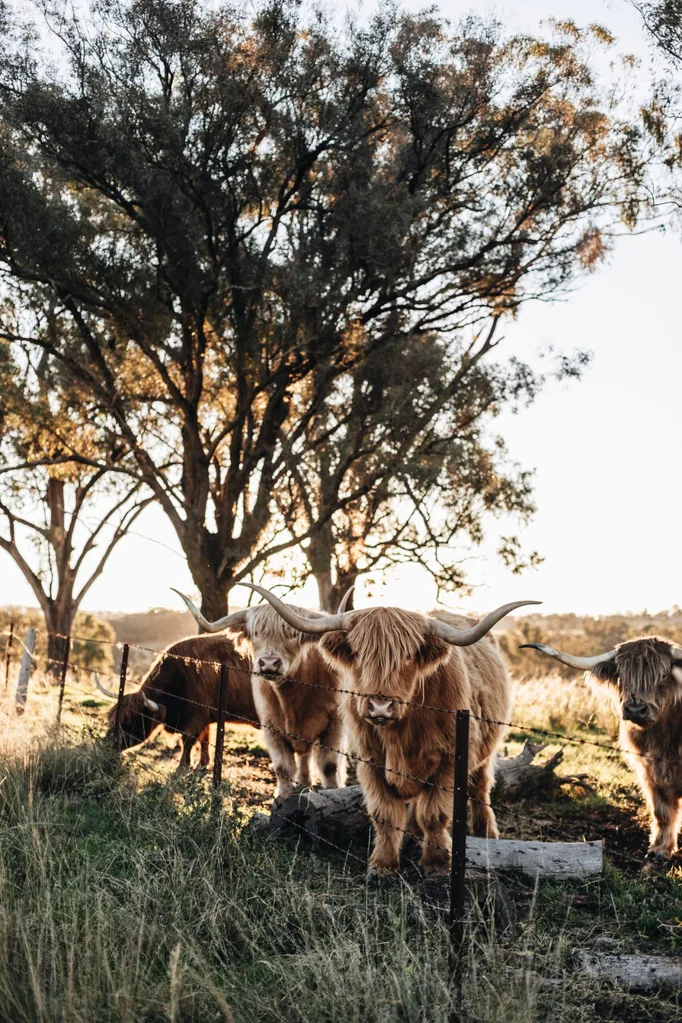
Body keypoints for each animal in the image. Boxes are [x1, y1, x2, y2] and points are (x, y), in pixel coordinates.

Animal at [94, 634, 257, 769]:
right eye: (112, 719)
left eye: (129, 721)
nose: (107, 743)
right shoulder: (205, 717)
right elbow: (204, 739)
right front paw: (202, 763)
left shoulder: (196, 716)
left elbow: (188, 740)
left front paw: (183, 765)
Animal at [173, 586, 346, 801]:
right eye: (256, 633)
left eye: (292, 633)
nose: (269, 663)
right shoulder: (271, 726)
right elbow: (283, 767)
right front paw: (282, 798)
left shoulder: (335, 725)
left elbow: (329, 766)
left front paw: (333, 791)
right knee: (303, 757)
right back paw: (304, 782)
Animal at [228, 584, 537, 875]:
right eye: (358, 654)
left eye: (409, 656)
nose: (380, 706)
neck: (403, 732)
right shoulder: (370, 759)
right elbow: (385, 813)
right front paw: (382, 865)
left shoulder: (450, 760)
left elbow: (434, 814)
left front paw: (436, 863)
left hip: (485, 750)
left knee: (480, 788)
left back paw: (486, 832)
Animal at [520, 637, 682, 868]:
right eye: (622, 676)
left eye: (663, 675)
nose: (635, 710)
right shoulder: (649, 772)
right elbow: (662, 812)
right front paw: (659, 850)